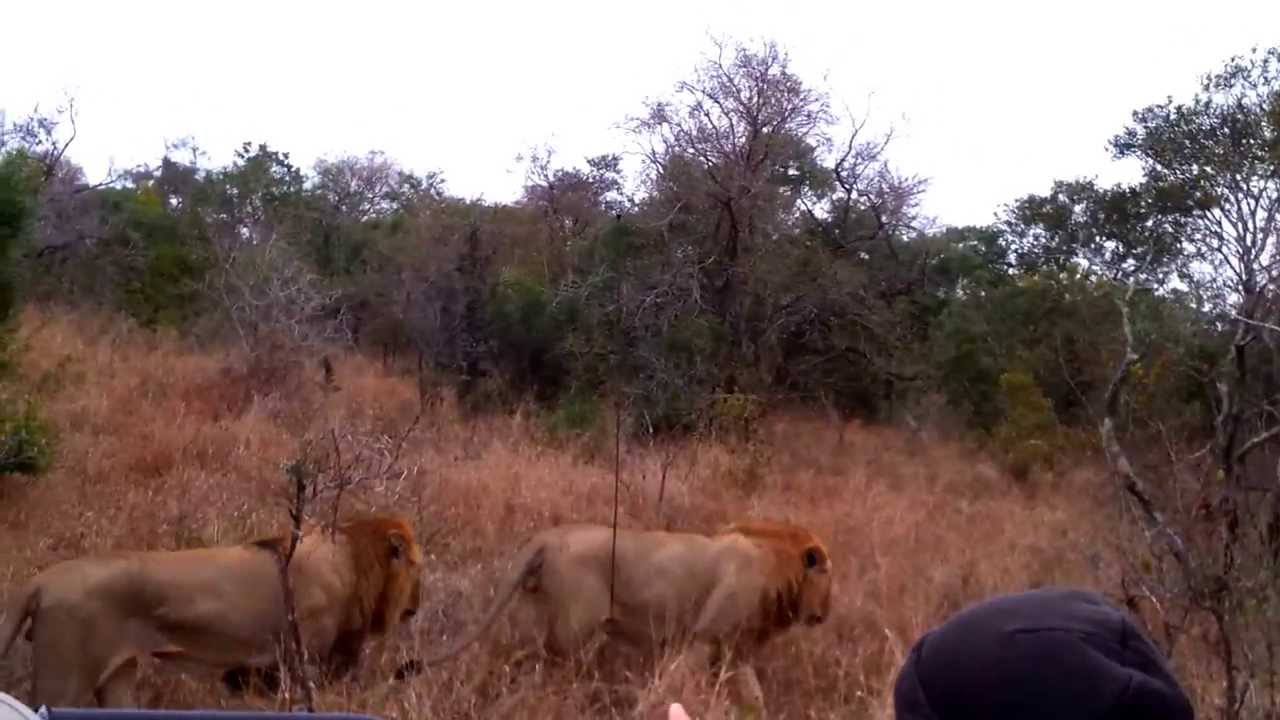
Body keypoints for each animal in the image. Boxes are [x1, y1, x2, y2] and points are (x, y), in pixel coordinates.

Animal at [0, 512, 423, 709]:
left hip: (116, 676)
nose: (416, 608)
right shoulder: (301, 662)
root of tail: (44, 580)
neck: (353, 562)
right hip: (64, 679)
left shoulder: (259, 671)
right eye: (418, 567)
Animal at [413, 518, 833, 715]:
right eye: (828, 576)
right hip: (576, 638)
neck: (779, 566)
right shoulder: (703, 638)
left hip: (532, 629)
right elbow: (670, 684)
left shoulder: (735, 652)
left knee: (504, 668)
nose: (826, 613)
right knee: (552, 682)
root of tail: (546, 538)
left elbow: (755, 698)